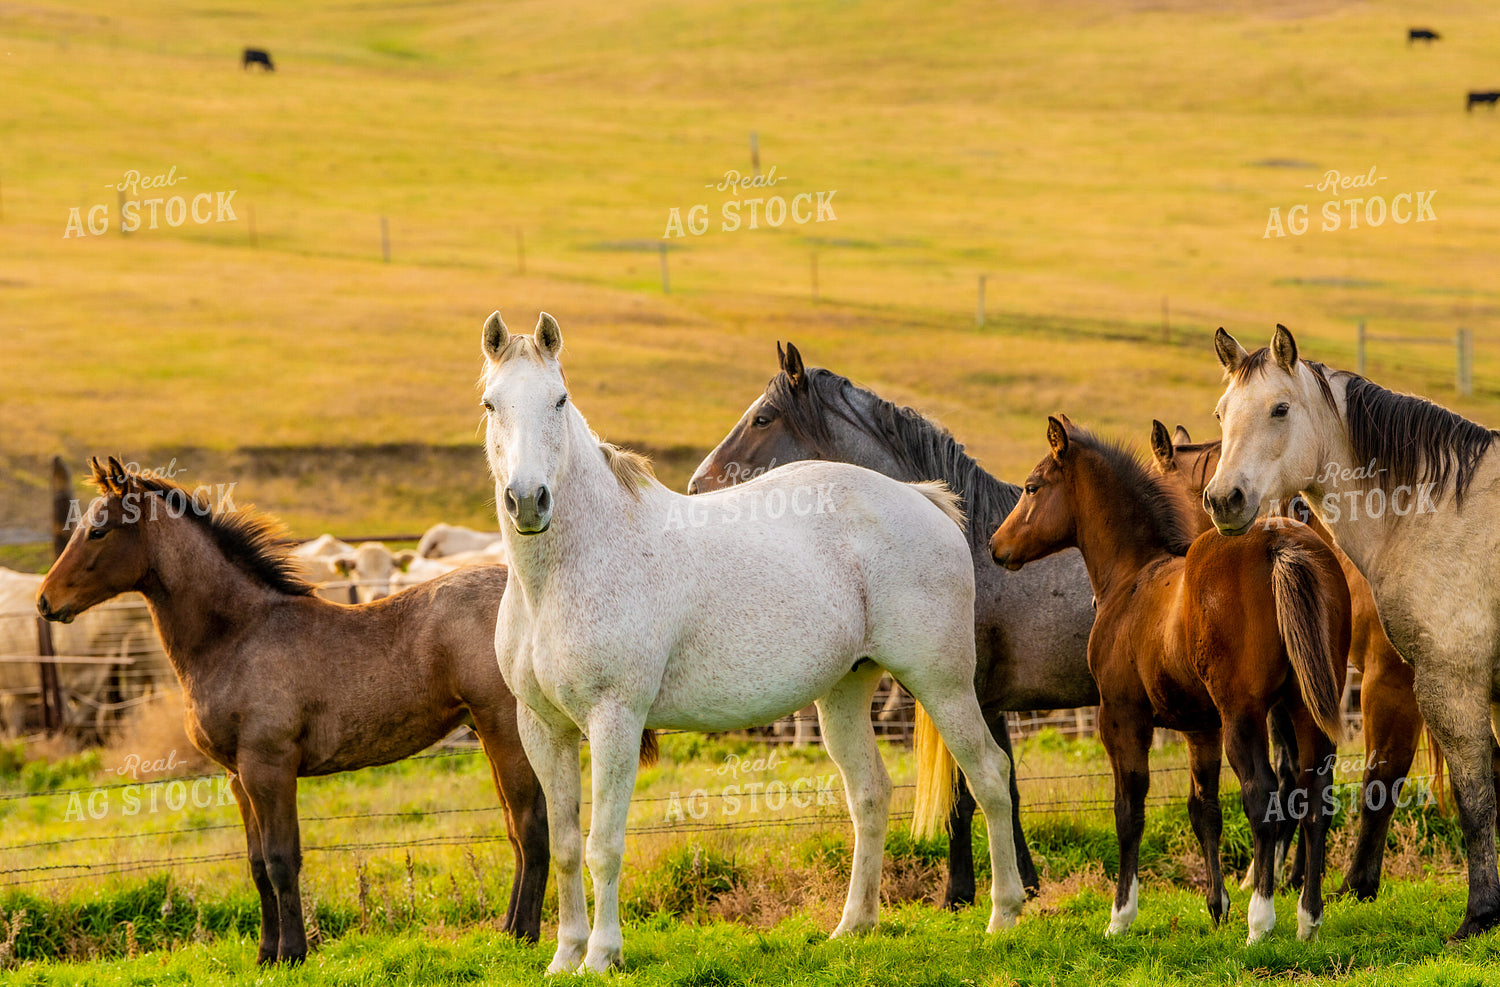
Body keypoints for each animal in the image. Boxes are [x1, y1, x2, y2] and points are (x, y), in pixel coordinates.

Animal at [36, 458, 549, 964]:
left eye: (98, 531)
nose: (45, 601)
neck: (238, 635)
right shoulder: (238, 777)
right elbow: (257, 864)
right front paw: (266, 955)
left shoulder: (269, 767)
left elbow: (283, 860)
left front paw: (294, 953)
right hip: (487, 733)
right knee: (516, 827)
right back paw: (507, 931)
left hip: (506, 731)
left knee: (530, 825)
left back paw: (524, 935)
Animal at [478, 311, 1024, 973]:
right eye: (491, 404)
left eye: (559, 400)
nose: (528, 500)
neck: (569, 568)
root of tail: (925, 499)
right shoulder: (544, 728)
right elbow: (562, 847)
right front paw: (565, 957)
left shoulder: (614, 721)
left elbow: (602, 845)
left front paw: (604, 954)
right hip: (844, 691)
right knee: (870, 793)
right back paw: (853, 926)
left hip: (942, 684)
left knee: (990, 777)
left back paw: (1004, 916)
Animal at [688, 341, 1096, 906]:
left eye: (762, 418)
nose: (695, 487)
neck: (968, 538)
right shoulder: (982, 701)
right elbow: (1000, 785)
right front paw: (1021, 884)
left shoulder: (964, 692)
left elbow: (969, 792)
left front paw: (962, 892)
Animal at [991, 417, 1350, 943]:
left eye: (1032, 487)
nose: (996, 546)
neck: (1132, 577)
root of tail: (1278, 543)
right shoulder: (1201, 727)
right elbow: (1205, 809)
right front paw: (1216, 906)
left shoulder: (1121, 718)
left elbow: (1129, 811)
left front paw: (1120, 916)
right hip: (1306, 706)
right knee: (1315, 797)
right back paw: (1308, 919)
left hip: (1245, 713)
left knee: (1262, 797)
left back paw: (1260, 921)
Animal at [1205, 324, 1500, 940]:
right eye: (1221, 413)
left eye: (1280, 409)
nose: (1223, 500)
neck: (1444, 514)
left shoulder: (1451, 683)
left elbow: (1475, 799)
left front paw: (1481, 915)